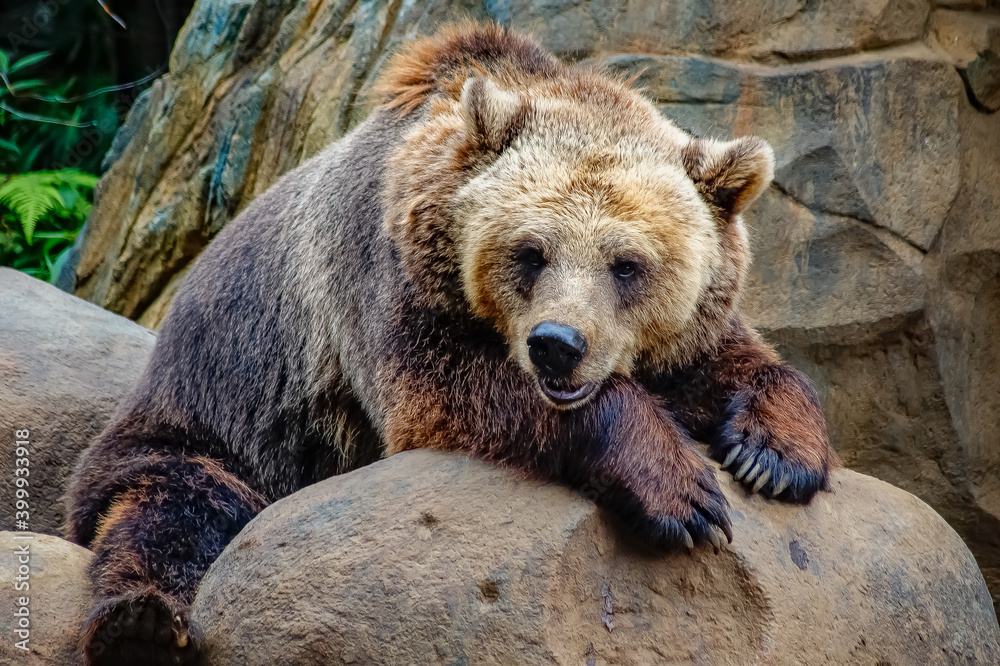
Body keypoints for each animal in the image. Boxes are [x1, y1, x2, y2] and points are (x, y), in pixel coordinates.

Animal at [65, 22, 837, 666]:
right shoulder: (386, 281)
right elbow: (446, 391)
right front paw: (681, 491)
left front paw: (775, 454)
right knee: (172, 510)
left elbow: (738, 362)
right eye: (531, 252)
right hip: (211, 425)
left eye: (627, 264)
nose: (558, 345)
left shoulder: (685, 335)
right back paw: (138, 625)